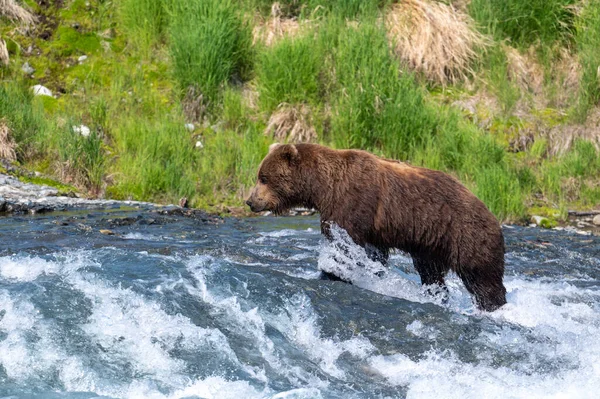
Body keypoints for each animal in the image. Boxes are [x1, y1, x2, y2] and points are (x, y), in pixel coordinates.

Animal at [246, 144, 508, 312]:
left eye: (263, 178)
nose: (250, 201)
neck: (323, 188)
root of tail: (493, 214)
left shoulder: (352, 203)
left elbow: (342, 246)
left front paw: (330, 274)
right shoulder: (372, 228)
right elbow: (373, 254)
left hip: (466, 234)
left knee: (483, 278)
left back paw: (493, 305)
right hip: (431, 244)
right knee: (431, 273)